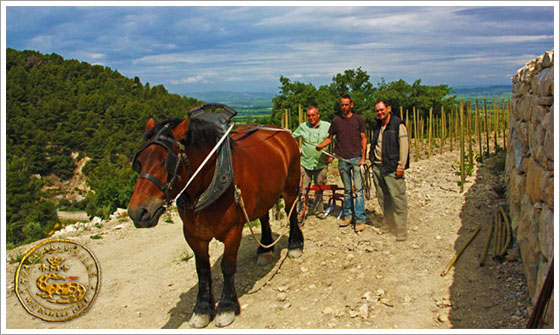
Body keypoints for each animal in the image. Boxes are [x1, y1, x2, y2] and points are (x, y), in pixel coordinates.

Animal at [128, 112, 302, 328]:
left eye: (165, 161)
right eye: (140, 161)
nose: (138, 212)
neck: (209, 180)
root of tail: (282, 133)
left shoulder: (233, 230)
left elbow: (227, 266)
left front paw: (226, 306)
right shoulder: (193, 235)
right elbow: (202, 270)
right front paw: (202, 308)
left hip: (290, 186)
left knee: (291, 212)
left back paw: (295, 245)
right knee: (263, 217)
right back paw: (265, 249)